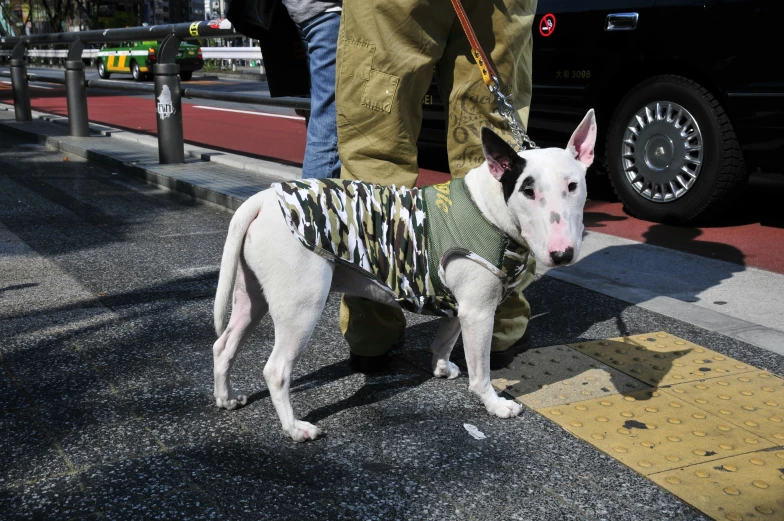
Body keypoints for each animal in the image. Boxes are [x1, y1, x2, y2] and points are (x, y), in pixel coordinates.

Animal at [211, 111, 596, 440]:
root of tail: (262, 200)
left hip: (252, 295)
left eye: (573, 186)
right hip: (301, 305)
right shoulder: (479, 312)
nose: (563, 254)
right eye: (528, 190)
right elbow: (480, 370)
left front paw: (441, 368)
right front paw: (495, 404)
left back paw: (226, 398)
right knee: (276, 370)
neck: (490, 207)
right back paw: (295, 428)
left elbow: (445, 338)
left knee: (224, 344)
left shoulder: (460, 305)